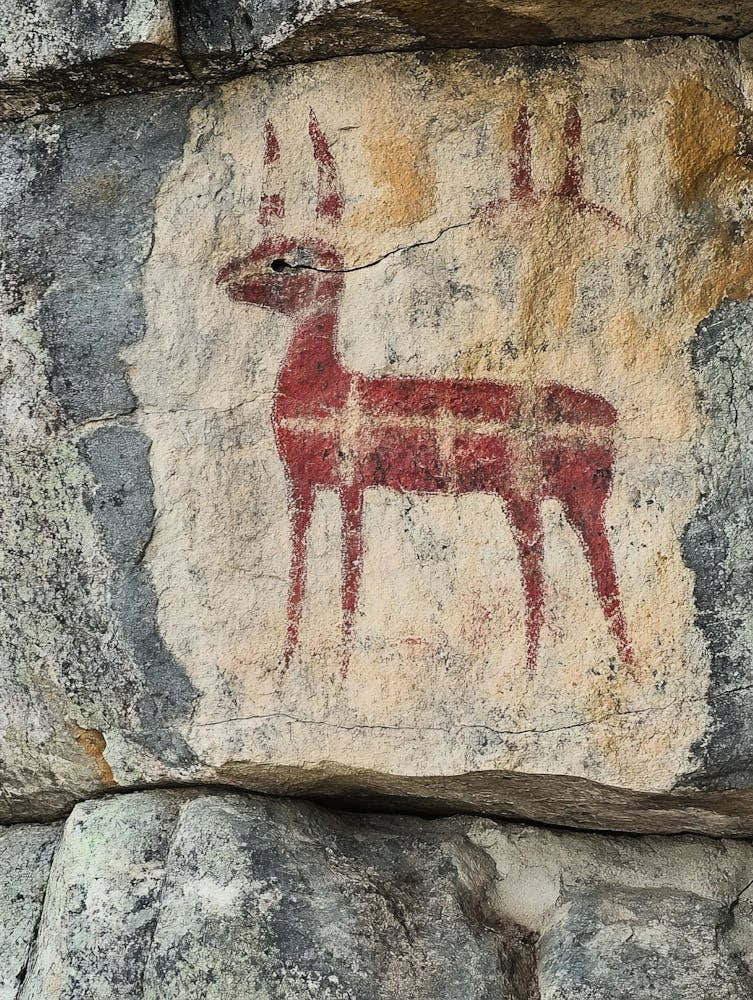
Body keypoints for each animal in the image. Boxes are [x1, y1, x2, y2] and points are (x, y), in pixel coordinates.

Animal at [216, 106, 633, 678]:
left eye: (282, 261)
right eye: (259, 249)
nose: (223, 277)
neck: (323, 386)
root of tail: (611, 418)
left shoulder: (350, 481)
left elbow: (348, 570)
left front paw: (339, 668)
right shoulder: (300, 483)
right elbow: (299, 567)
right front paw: (288, 662)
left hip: (550, 494)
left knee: (566, 575)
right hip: (556, 499)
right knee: (571, 574)